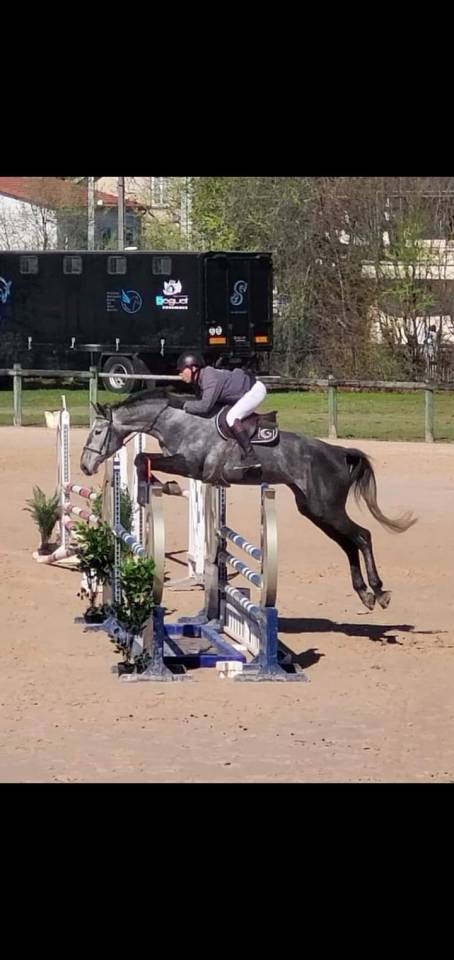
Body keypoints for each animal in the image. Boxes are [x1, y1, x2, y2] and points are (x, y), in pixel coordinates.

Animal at [80, 390, 416, 611]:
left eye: (97, 432)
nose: (85, 466)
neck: (177, 421)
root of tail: (339, 453)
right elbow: (144, 460)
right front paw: (162, 487)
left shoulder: (192, 466)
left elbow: (143, 458)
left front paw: (160, 488)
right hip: (314, 510)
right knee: (349, 544)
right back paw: (365, 594)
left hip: (327, 509)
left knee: (363, 536)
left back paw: (379, 591)